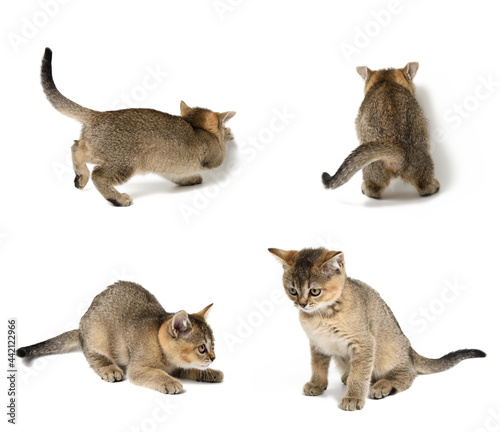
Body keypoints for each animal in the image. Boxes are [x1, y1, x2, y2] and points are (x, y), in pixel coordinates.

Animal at [16, 282, 222, 394]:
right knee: (91, 354)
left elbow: (192, 368)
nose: (213, 357)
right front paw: (169, 382)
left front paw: (211, 373)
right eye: (201, 348)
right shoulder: (137, 368)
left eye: (213, 346)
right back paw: (109, 368)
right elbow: (156, 374)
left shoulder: (178, 366)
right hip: (97, 334)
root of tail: (82, 325)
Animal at [40, 48, 235, 207]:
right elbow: (223, 150)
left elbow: (179, 176)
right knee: (98, 174)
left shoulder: (171, 168)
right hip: (123, 163)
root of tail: (100, 115)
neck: (195, 126)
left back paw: (81, 176)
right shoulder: (216, 157)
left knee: (76, 146)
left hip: (100, 150)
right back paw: (117, 198)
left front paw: (191, 178)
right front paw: (227, 133)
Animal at [270, 248, 484, 410]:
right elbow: (318, 366)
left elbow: (360, 375)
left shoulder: (364, 342)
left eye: (315, 291)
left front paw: (354, 397)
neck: (320, 316)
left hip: (387, 353)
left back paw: (383, 385)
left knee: (408, 374)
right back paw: (349, 376)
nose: (302, 304)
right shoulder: (317, 343)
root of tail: (409, 349)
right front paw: (317, 384)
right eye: (292, 291)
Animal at [322, 62, 440, 199]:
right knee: (424, 187)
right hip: (423, 163)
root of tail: (399, 151)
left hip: (372, 166)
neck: (386, 81)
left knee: (373, 190)